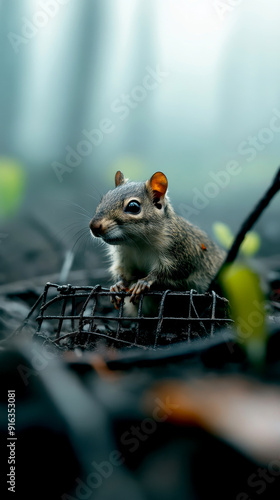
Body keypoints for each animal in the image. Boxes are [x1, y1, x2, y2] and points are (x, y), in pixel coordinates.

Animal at [89, 170, 225, 306]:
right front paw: (118, 284)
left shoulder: (183, 253)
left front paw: (144, 281)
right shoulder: (123, 257)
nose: (94, 226)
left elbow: (170, 271)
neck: (137, 243)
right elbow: (124, 272)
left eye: (133, 206)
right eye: (103, 199)